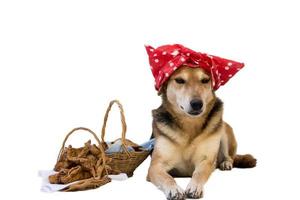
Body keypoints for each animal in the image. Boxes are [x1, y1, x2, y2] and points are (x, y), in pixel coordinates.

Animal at [147, 66, 255, 200]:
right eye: (179, 80)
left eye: (205, 80)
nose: (197, 104)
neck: (189, 125)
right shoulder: (155, 166)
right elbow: (167, 177)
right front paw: (174, 189)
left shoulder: (206, 160)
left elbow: (199, 173)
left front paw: (194, 187)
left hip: (222, 129)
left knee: (230, 156)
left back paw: (225, 163)